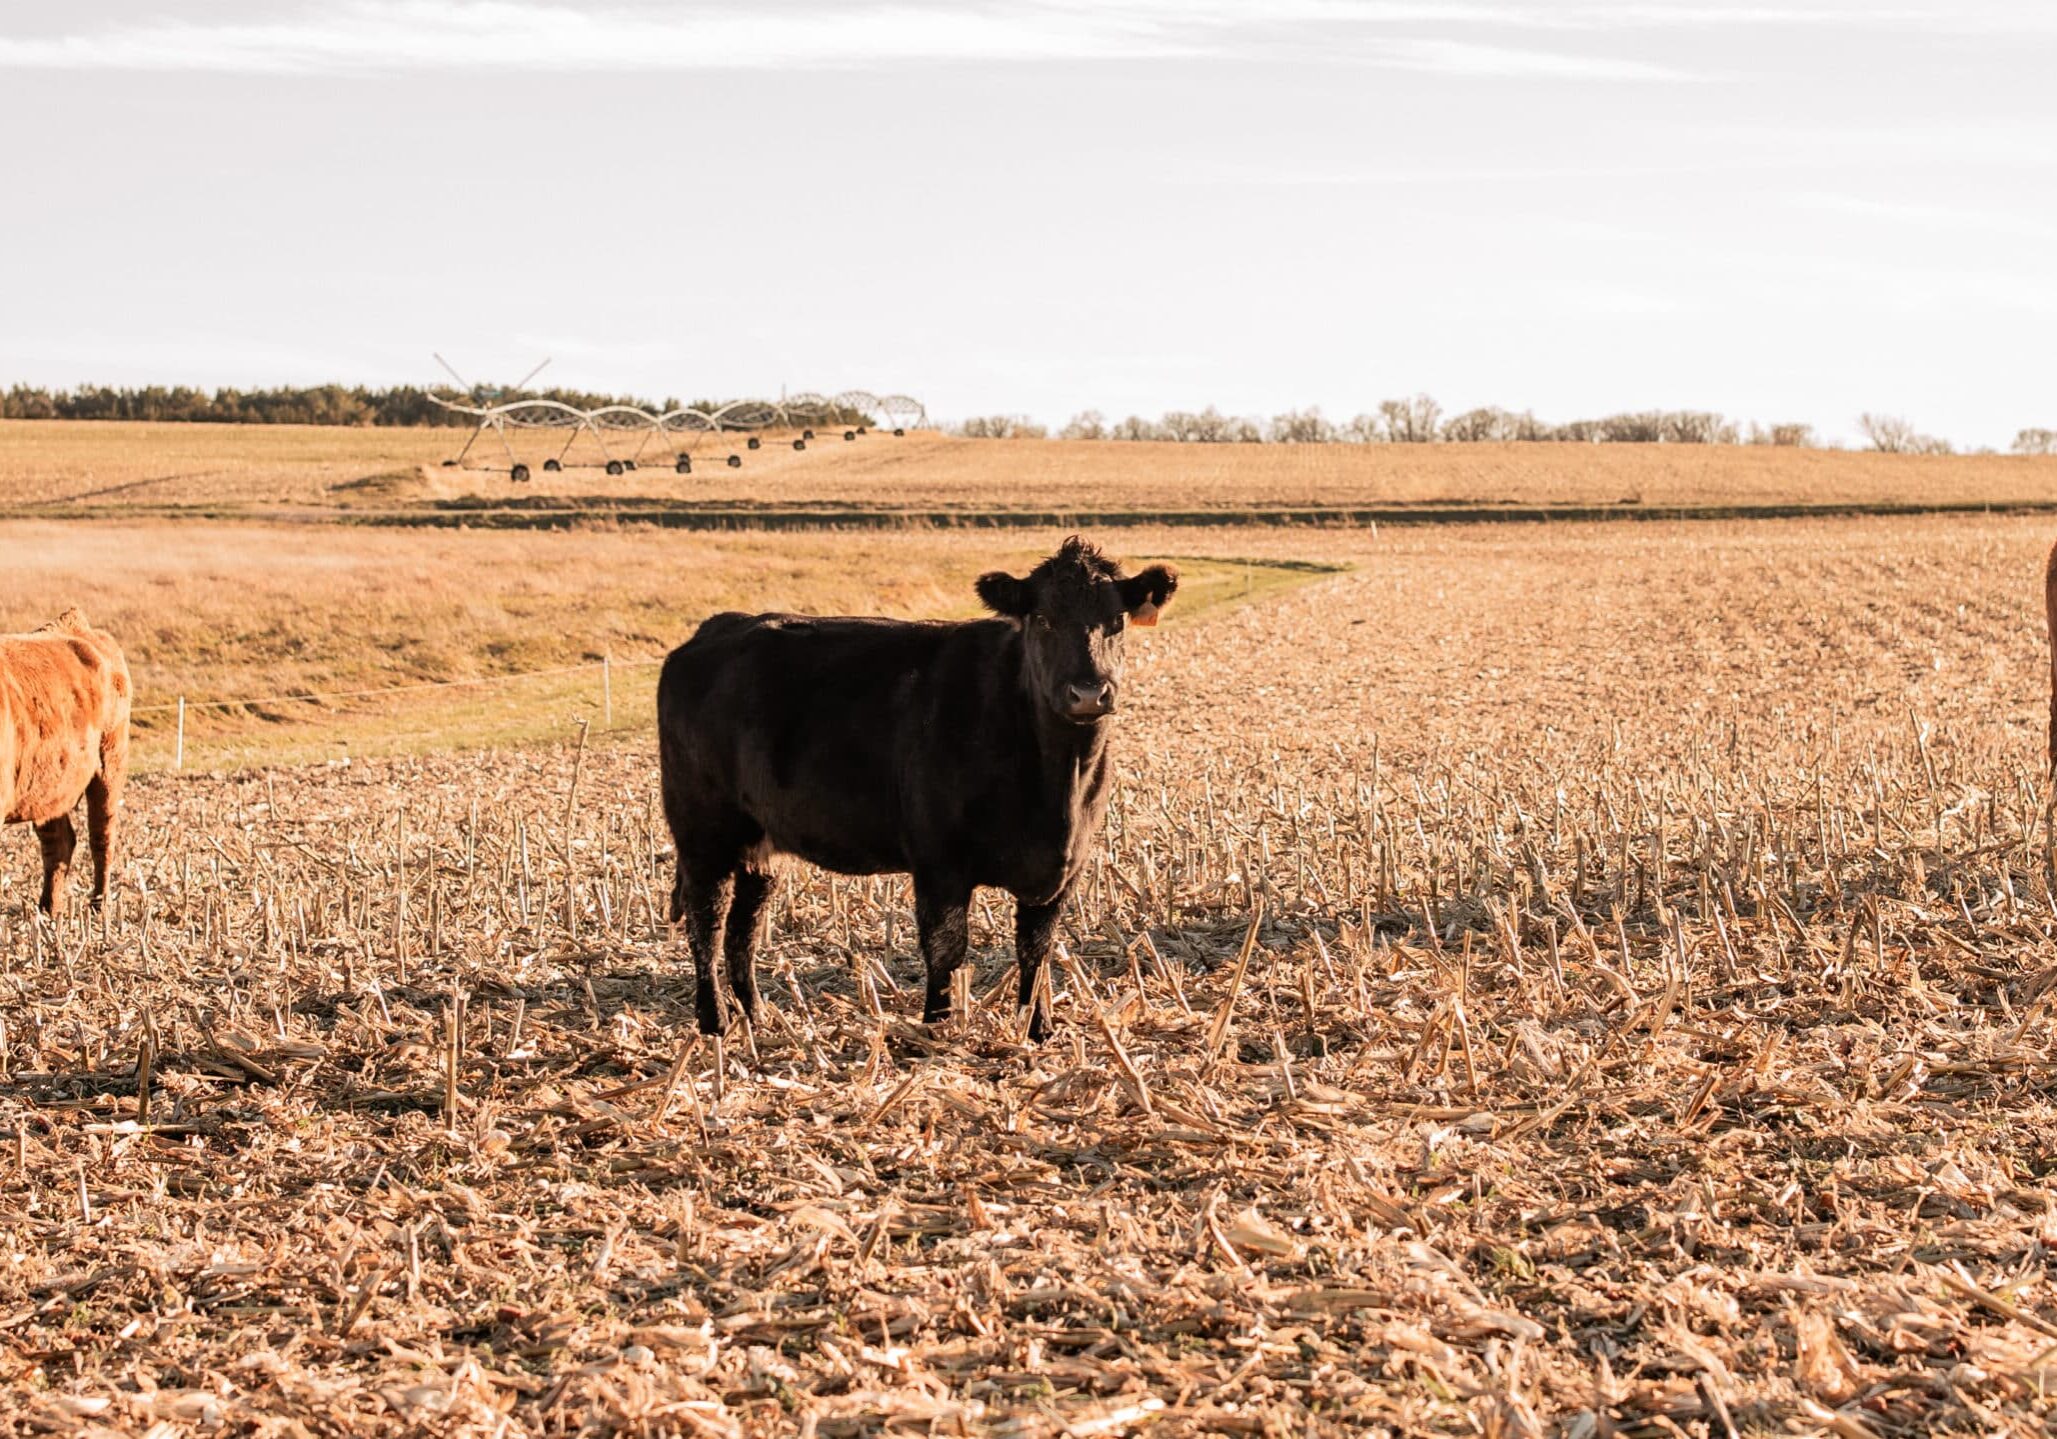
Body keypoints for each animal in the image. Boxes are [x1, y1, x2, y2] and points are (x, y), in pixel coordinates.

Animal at [0, 609, 131, 916]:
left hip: (110, 765)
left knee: (102, 837)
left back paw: (99, 906)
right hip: (49, 786)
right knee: (59, 843)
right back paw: (48, 910)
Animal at [657, 537, 1178, 1042]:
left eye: (1116, 620)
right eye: (1044, 619)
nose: (1088, 692)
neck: (1057, 784)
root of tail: (717, 629)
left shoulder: (1064, 868)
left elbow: (1037, 948)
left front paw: (1038, 1029)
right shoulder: (938, 860)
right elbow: (946, 948)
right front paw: (937, 1028)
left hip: (758, 845)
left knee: (742, 929)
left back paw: (755, 1018)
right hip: (704, 832)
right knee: (707, 923)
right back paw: (714, 1022)